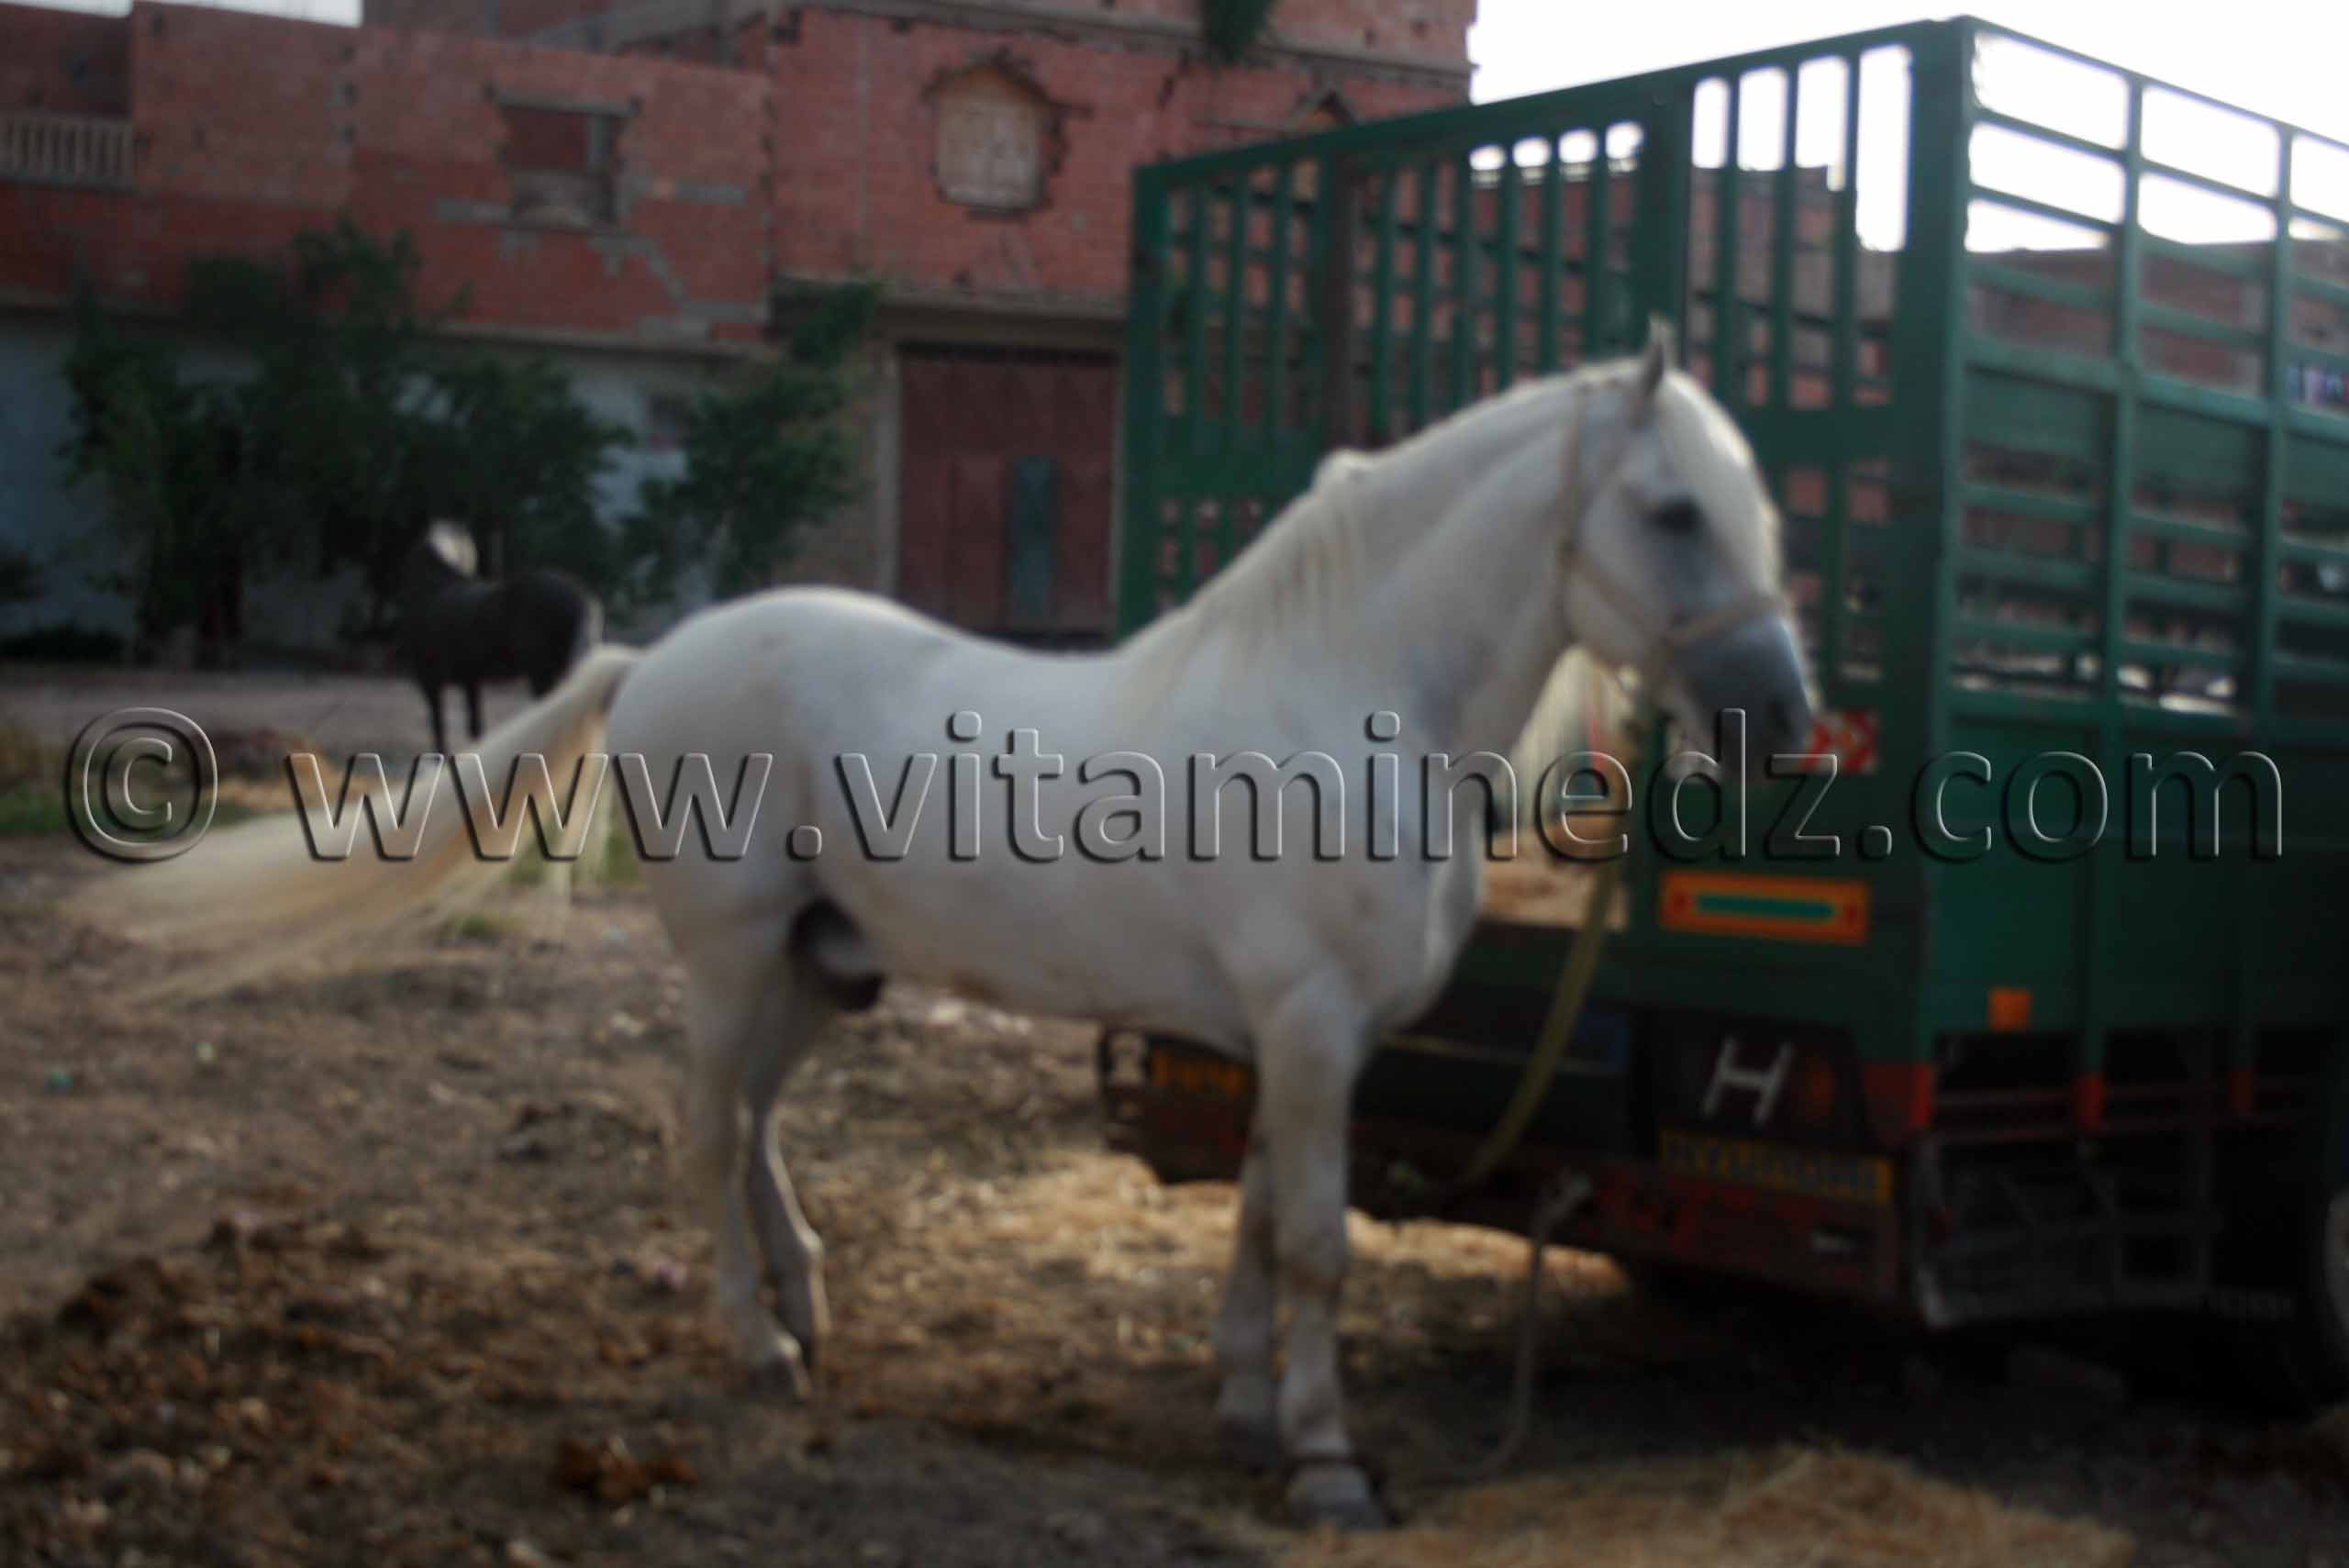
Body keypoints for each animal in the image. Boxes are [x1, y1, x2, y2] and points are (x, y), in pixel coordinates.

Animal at [396, 520, 604, 756]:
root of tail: (582, 596)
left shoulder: (430, 679)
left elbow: (439, 726)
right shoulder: (470, 678)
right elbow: (475, 726)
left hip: (542, 673)